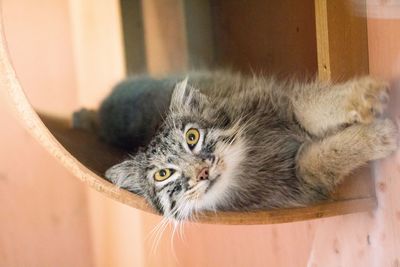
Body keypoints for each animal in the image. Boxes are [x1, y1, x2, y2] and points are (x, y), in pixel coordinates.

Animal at [97, 70, 396, 222]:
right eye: (163, 175)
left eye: (192, 137)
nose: (202, 172)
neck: (248, 160)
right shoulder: (302, 179)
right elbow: (321, 158)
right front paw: (379, 136)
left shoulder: (286, 102)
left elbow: (314, 107)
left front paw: (363, 96)